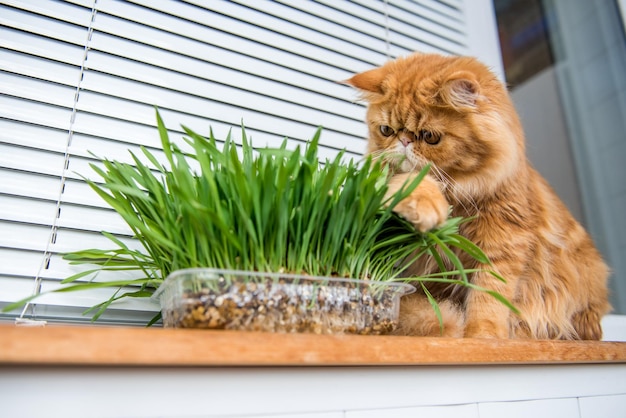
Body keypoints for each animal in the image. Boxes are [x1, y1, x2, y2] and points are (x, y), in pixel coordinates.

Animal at [344, 52, 608, 340]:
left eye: (430, 136)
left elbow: (489, 297)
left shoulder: (504, 238)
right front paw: (423, 204)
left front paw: (483, 335)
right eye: (387, 131)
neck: (457, 197)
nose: (404, 141)